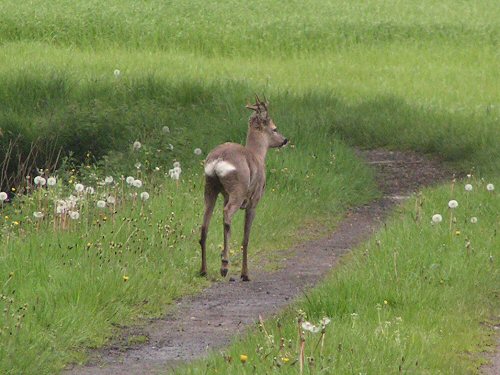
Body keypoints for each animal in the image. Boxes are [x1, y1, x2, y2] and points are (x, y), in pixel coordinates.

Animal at [198, 95, 288, 280]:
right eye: (274, 128)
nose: (285, 140)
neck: (258, 155)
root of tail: (218, 160)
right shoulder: (254, 200)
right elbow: (246, 238)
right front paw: (245, 274)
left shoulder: (225, 196)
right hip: (237, 189)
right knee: (227, 214)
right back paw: (224, 265)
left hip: (210, 187)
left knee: (204, 224)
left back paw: (204, 270)